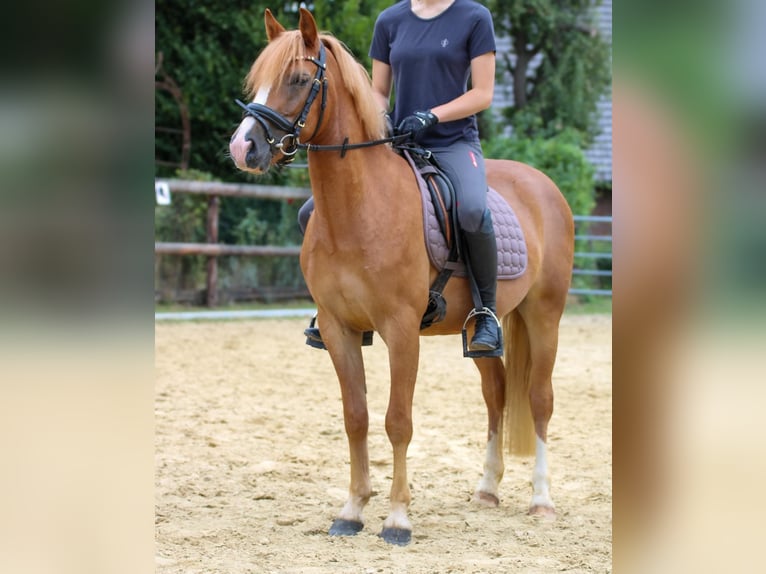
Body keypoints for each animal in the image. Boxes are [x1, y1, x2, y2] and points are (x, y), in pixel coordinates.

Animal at [229, 8, 574, 546]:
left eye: (299, 80)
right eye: (257, 79)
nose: (243, 147)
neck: (358, 208)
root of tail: (542, 184)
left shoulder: (401, 330)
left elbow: (398, 421)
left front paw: (397, 519)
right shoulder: (338, 328)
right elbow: (356, 417)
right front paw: (352, 510)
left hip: (544, 316)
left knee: (539, 399)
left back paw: (541, 500)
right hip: (484, 328)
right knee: (496, 394)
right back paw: (487, 490)